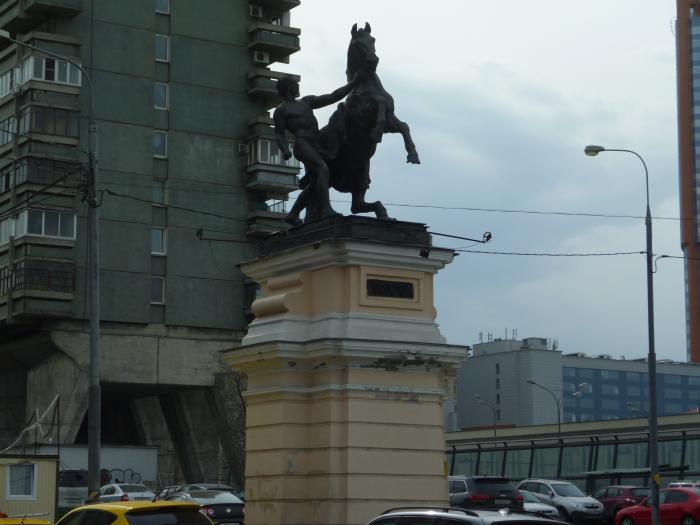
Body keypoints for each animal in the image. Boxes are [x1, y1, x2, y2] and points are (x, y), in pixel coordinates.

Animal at [320, 22, 418, 218]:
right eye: (357, 44)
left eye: (372, 39)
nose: (373, 61)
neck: (364, 87)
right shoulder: (360, 119)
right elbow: (379, 103)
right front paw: (377, 131)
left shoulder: (391, 122)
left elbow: (404, 126)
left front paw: (413, 154)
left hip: (361, 176)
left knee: (356, 205)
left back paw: (383, 213)